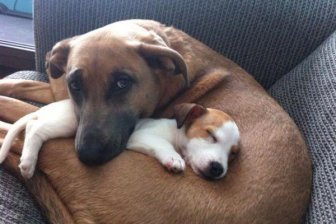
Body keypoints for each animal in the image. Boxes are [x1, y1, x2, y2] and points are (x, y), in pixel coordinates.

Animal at [0, 100, 239, 179]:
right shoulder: (141, 135)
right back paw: (28, 162)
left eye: (233, 155)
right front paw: (173, 160)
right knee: (34, 129)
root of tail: (43, 109)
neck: (175, 130)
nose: (218, 169)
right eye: (210, 135)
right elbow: (162, 145)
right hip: (66, 123)